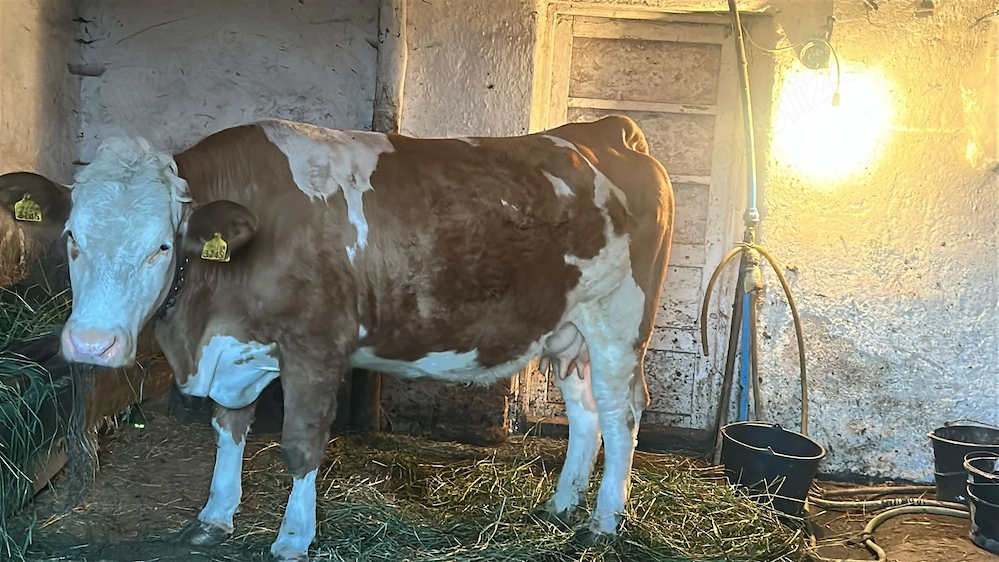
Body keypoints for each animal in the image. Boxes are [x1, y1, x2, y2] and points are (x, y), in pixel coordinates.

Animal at [4, 114, 674, 561]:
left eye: (162, 247)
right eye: (72, 238)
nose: (90, 345)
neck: (204, 323)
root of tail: (607, 127)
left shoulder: (316, 347)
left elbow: (300, 446)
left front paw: (292, 538)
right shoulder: (235, 348)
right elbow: (229, 427)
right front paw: (214, 517)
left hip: (620, 319)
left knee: (621, 413)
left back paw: (603, 524)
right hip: (569, 330)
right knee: (585, 412)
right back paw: (560, 508)